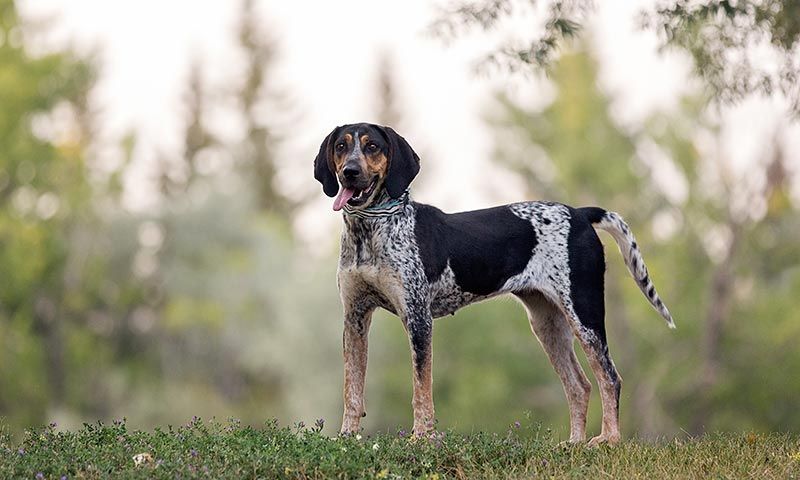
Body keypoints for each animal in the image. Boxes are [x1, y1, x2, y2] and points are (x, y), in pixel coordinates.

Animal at [312, 122, 676, 444]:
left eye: (372, 146)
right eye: (341, 146)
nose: (349, 172)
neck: (371, 229)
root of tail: (581, 214)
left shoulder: (418, 319)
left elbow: (421, 389)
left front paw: (421, 439)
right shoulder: (355, 317)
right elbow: (352, 389)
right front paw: (347, 437)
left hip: (584, 314)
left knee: (610, 378)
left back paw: (609, 440)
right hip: (547, 324)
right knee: (579, 385)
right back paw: (573, 444)